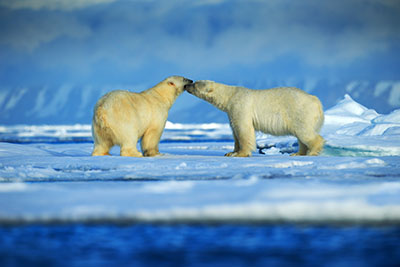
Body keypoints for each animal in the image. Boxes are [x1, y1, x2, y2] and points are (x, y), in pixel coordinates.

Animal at [184, 81, 324, 157]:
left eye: (195, 84)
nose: (186, 85)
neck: (230, 96)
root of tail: (316, 101)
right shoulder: (231, 112)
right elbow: (234, 131)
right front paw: (230, 152)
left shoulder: (240, 106)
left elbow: (243, 130)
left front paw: (240, 154)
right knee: (301, 135)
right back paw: (298, 153)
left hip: (299, 111)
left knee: (304, 132)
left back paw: (312, 152)